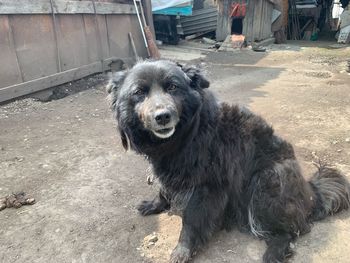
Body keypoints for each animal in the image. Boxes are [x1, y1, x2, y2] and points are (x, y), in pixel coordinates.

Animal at [106, 60, 350, 263]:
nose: (163, 116)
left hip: (266, 182)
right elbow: (162, 190)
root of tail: (311, 193)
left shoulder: (206, 187)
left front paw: (182, 251)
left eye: (173, 87)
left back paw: (273, 252)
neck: (186, 135)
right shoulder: (168, 171)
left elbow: (190, 222)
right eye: (139, 93)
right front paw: (153, 204)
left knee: (293, 229)